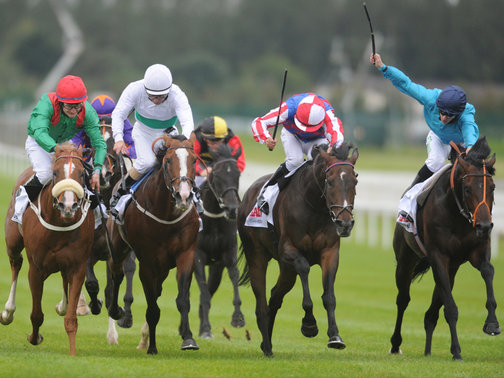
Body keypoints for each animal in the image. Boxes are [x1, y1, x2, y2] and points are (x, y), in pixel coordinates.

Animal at [1, 143, 94, 356]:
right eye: (55, 172)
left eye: (82, 174)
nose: (68, 205)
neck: (60, 222)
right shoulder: (36, 268)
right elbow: (36, 314)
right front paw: (34, 338)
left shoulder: (78, 266)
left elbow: (71, 319)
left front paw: (72, 353)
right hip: (13, 242)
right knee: (16, 263)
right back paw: (8, 312)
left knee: (63, 279)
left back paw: (62, 305)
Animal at [107, 134, 201, 354]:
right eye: (168, 161)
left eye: (194, 160)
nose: (183, 195)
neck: (166, 215)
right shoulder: (148, 262)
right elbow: (152, 308)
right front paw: (152, 348)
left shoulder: (186, 254)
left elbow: (182, 300)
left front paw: (188, 338)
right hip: (118, 246)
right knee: (117, 273)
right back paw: (116, 311)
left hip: (164, 266)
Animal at [194, 143, 245, 338]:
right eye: (216, 174)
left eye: (237, 174)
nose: (232, 209)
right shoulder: (197, 256)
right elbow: (204, 293)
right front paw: (206, 328)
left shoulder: (227, 255)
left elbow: (234, 276)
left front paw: (238, 318)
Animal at [237, 142, 358, 358]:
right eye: (329, 182)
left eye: (355, 181)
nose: (345, 224)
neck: (315, 207)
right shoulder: (288, 249)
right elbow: (304, 268)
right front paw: (309, 324)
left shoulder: (330, 252)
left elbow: (329, 296)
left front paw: (335, 336)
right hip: (257, 255)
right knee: (261, 302)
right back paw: (267, 345)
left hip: (286, 269)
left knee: (275, 296)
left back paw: (266, 342)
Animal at [390, 137, 500, 360]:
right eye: (467, 188)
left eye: (492, 187)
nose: (484, 226)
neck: (457, 213)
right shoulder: (438, 256)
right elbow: (450, 308)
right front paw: (457, 350)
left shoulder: (477, 252)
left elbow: (488, 271)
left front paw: (492, 323)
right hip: (405, 261)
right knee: (403, 300)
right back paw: (396, 344)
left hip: (452, 269)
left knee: (431, 313)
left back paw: (427, 351)